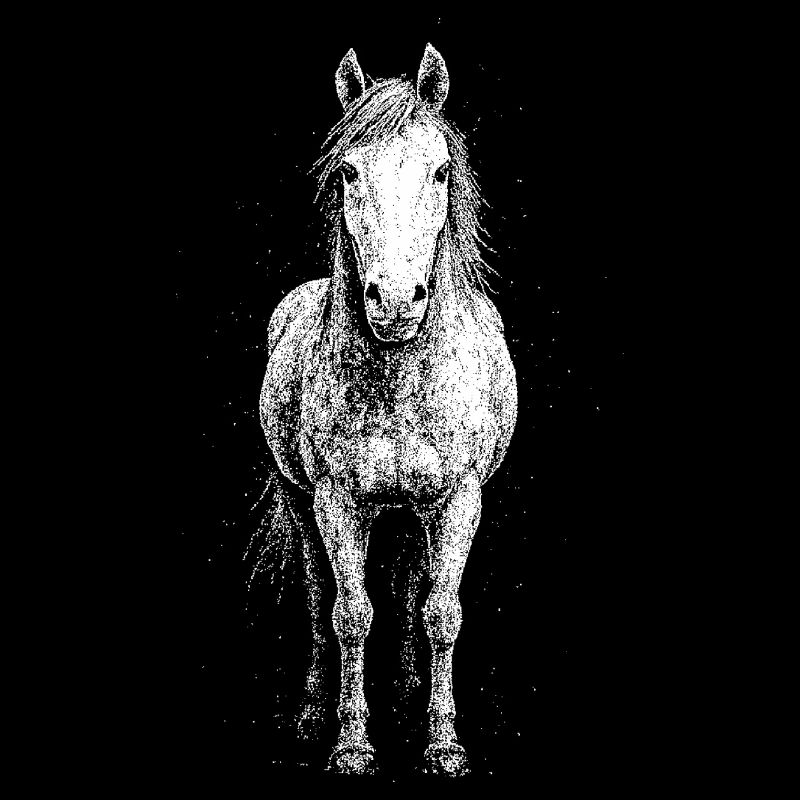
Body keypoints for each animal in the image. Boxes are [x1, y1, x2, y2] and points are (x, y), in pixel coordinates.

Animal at [256, 44, 517, 776]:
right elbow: (349, 614)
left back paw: (405, 697)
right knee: (319, 596)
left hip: (413, 513)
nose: (396, 303)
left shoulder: (459, 502)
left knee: (409, 592)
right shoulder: (335, 502)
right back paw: (314, 712)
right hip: (300, 503)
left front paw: (443, 743)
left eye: (440, 170)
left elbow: (441, 613)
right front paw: (350, 744)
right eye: (349, 170)